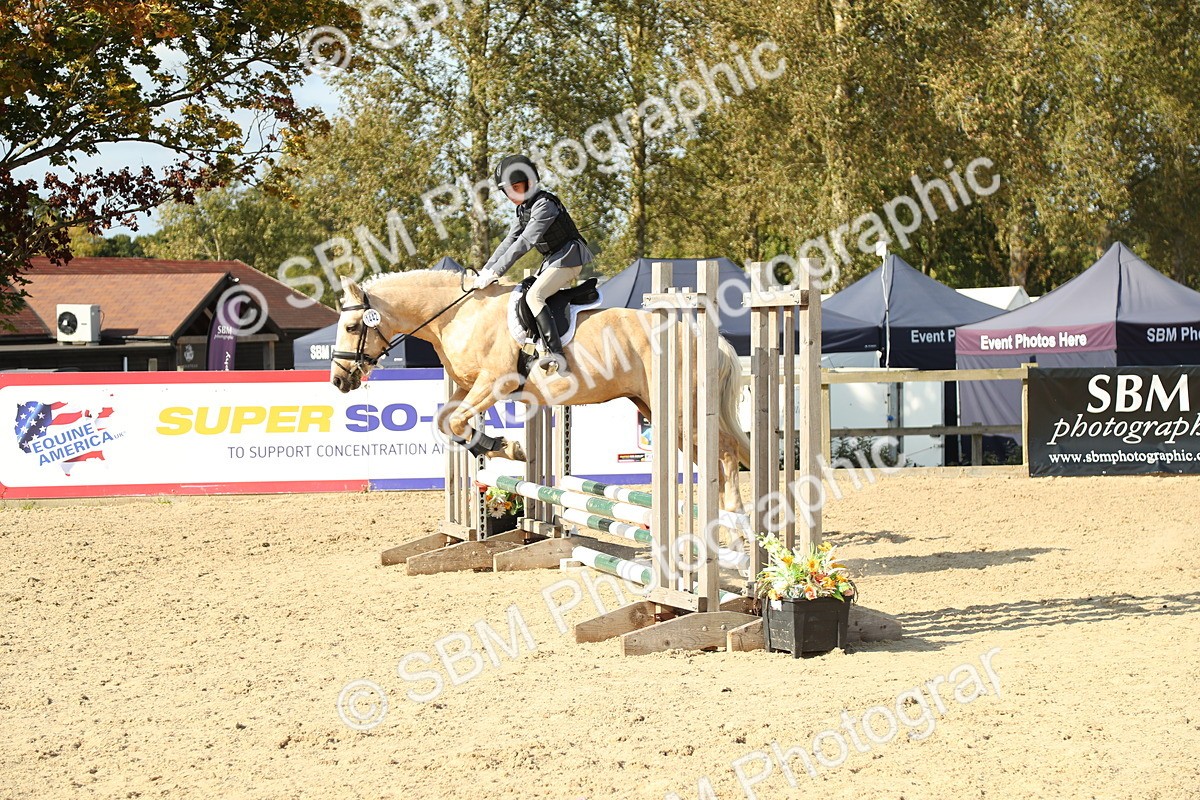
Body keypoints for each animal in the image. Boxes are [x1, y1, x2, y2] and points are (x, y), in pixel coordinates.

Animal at [329, 269, 751, 516]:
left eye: (351, 327)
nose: (339, 379)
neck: (458, 315)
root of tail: (705, 336)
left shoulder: (494, 383)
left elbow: (461, 423)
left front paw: (507, 447)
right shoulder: (467, 386)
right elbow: (447, 423)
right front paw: (498, 446)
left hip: (681, 410)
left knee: (726, 454)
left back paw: (733, 525)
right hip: (658, 409)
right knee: (711, 459)